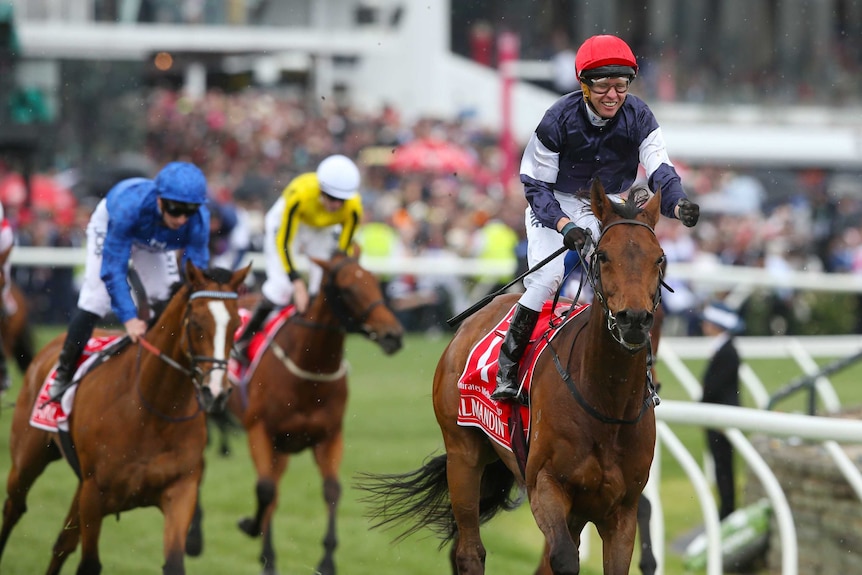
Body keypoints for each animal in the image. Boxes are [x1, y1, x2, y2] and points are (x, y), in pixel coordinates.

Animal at [0, 262, 250, 575]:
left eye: (236, 325)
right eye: (196, 323)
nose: (216, 391)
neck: (153, 412)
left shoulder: (181, 491)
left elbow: (174, 562)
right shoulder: (94, 494)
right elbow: (89, 565)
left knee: (62, 543)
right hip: (28, 459)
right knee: (14, 508)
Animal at [192, 253, 404, 575]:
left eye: (374, 281)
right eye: (347, 289)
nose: (393, 335)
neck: (309, 369)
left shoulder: (328, 436)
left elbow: (330, 490)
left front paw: (326, 561)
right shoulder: (260, 431)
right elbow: (265, 490)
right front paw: (251, 530)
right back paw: (194, 536)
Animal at [362, 181, 664, 575]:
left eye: (659, 258)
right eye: (603, 256)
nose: (634, 320)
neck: (606, 404)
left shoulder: (620, 509)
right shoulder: (546, 486)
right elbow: (563, 559)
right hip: (463, 454)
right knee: (469, 551)